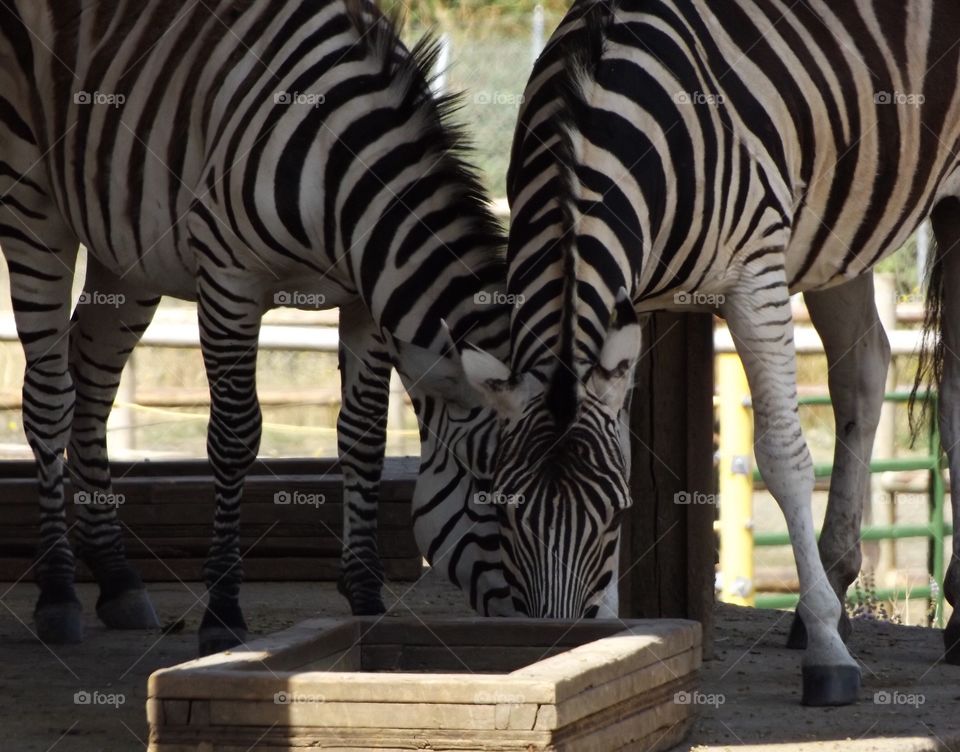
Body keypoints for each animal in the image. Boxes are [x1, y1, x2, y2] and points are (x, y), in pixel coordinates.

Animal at [0, 0, 513, 655]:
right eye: (495, 495)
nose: (563, 625)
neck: (343, 172)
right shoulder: (230, 283)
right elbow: (235, 437)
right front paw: (222, 609)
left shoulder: (366, 302)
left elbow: (364, 439)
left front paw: (365, 598)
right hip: (31, 205)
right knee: (49, 398)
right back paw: (59, 591)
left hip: (129, 251)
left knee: (90, 386)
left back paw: (115, 576)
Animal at [421, 0, 960, 705]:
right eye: (499, 510)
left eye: (611, 516)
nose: (560, 641)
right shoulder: (632, 304)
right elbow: (625, 448)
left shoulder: (754, 274)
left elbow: (782, 455)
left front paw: (828, 651)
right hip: (841, 229)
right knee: (864, 366)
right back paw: (837, 580)